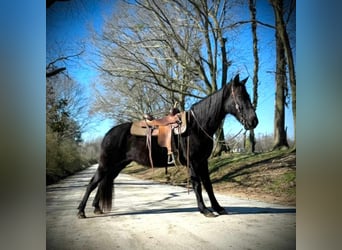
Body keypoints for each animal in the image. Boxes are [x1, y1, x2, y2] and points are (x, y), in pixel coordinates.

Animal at [77, 73, 258, 218]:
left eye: (248, 95)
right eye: (240, 97)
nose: (253, 121)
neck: (197, 126)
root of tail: (109, 133)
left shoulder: (203, 162)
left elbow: (208, 185)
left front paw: (218, 208)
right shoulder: (193, 162)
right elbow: (198, 185)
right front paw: (205, 210)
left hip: (117, 166)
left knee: (102, 182)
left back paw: (96, 208)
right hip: (106, 164)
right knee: (93, 183)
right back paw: (81, 211)